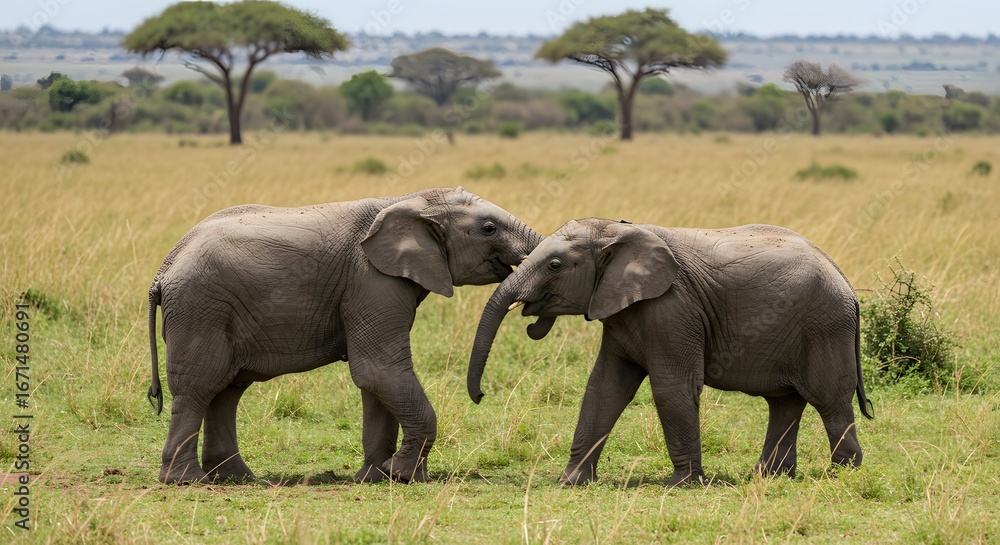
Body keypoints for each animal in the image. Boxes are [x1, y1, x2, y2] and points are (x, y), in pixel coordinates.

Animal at [147, 187, 541, 484]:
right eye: (489, 229)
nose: (480, 395)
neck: (410, 199)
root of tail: (165, 267)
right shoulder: (371, 279)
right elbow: (378, 369)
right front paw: (403, 475)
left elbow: (376, 381)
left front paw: (377, 477)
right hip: (200, 308)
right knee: (199, 386)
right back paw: (187, 481)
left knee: (227, 390)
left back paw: (236, 478)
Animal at [467, 218, 874, 487]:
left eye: (555, 265)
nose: (481, 395)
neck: (618, 232)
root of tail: (844, 278)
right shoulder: (622, 308)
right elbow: (604, 388)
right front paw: (570, 481)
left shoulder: (671, 308)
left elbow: (671, 388)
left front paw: (681, 484)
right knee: (785, 402)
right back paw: (768, 477)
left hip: (825, 326)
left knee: (829, 400)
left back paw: (842, 474)